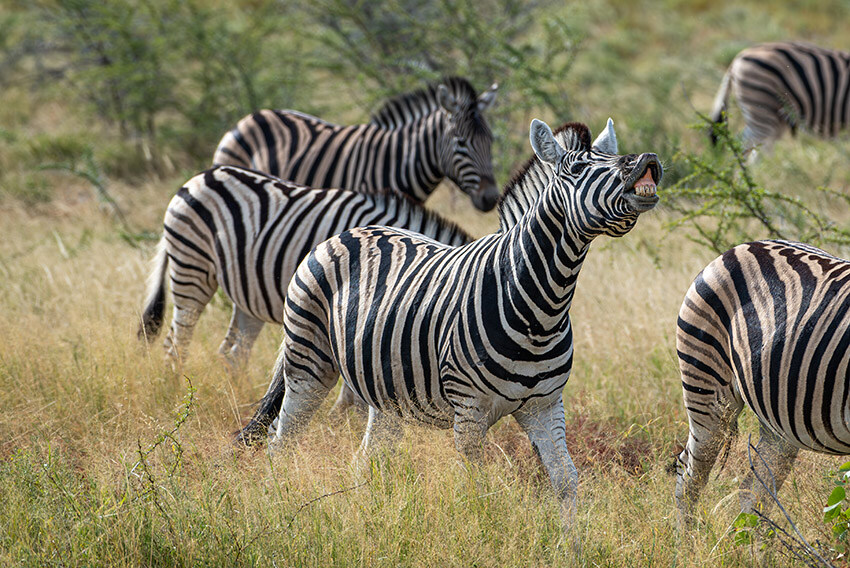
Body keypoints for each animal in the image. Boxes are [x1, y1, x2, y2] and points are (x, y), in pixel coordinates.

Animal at [139, 165, 470, 386]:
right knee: (177, 341)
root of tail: (201, 176)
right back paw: (173, 387)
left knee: (230, 352)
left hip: (246, 294)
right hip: (191, 266)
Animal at [240, 117, 664, 524]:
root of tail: (349, 232)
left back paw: (362, 517)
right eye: (577, 169)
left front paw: (569, 540)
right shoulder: (470, 411)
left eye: (615, 157)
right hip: (309, 361)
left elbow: (565, 480)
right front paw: (481, 534)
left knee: (366, 460)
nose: (646, 159)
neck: (540, 308)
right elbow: (478, 492)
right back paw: (276, 507)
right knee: (281, 441)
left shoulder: (544, 406)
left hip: (385, 393)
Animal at [676, 239, 848, 524]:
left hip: (777, 418)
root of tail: (744, 246)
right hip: (706, 388)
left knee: (753, 493)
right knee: (690, 477)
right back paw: (687, 538)